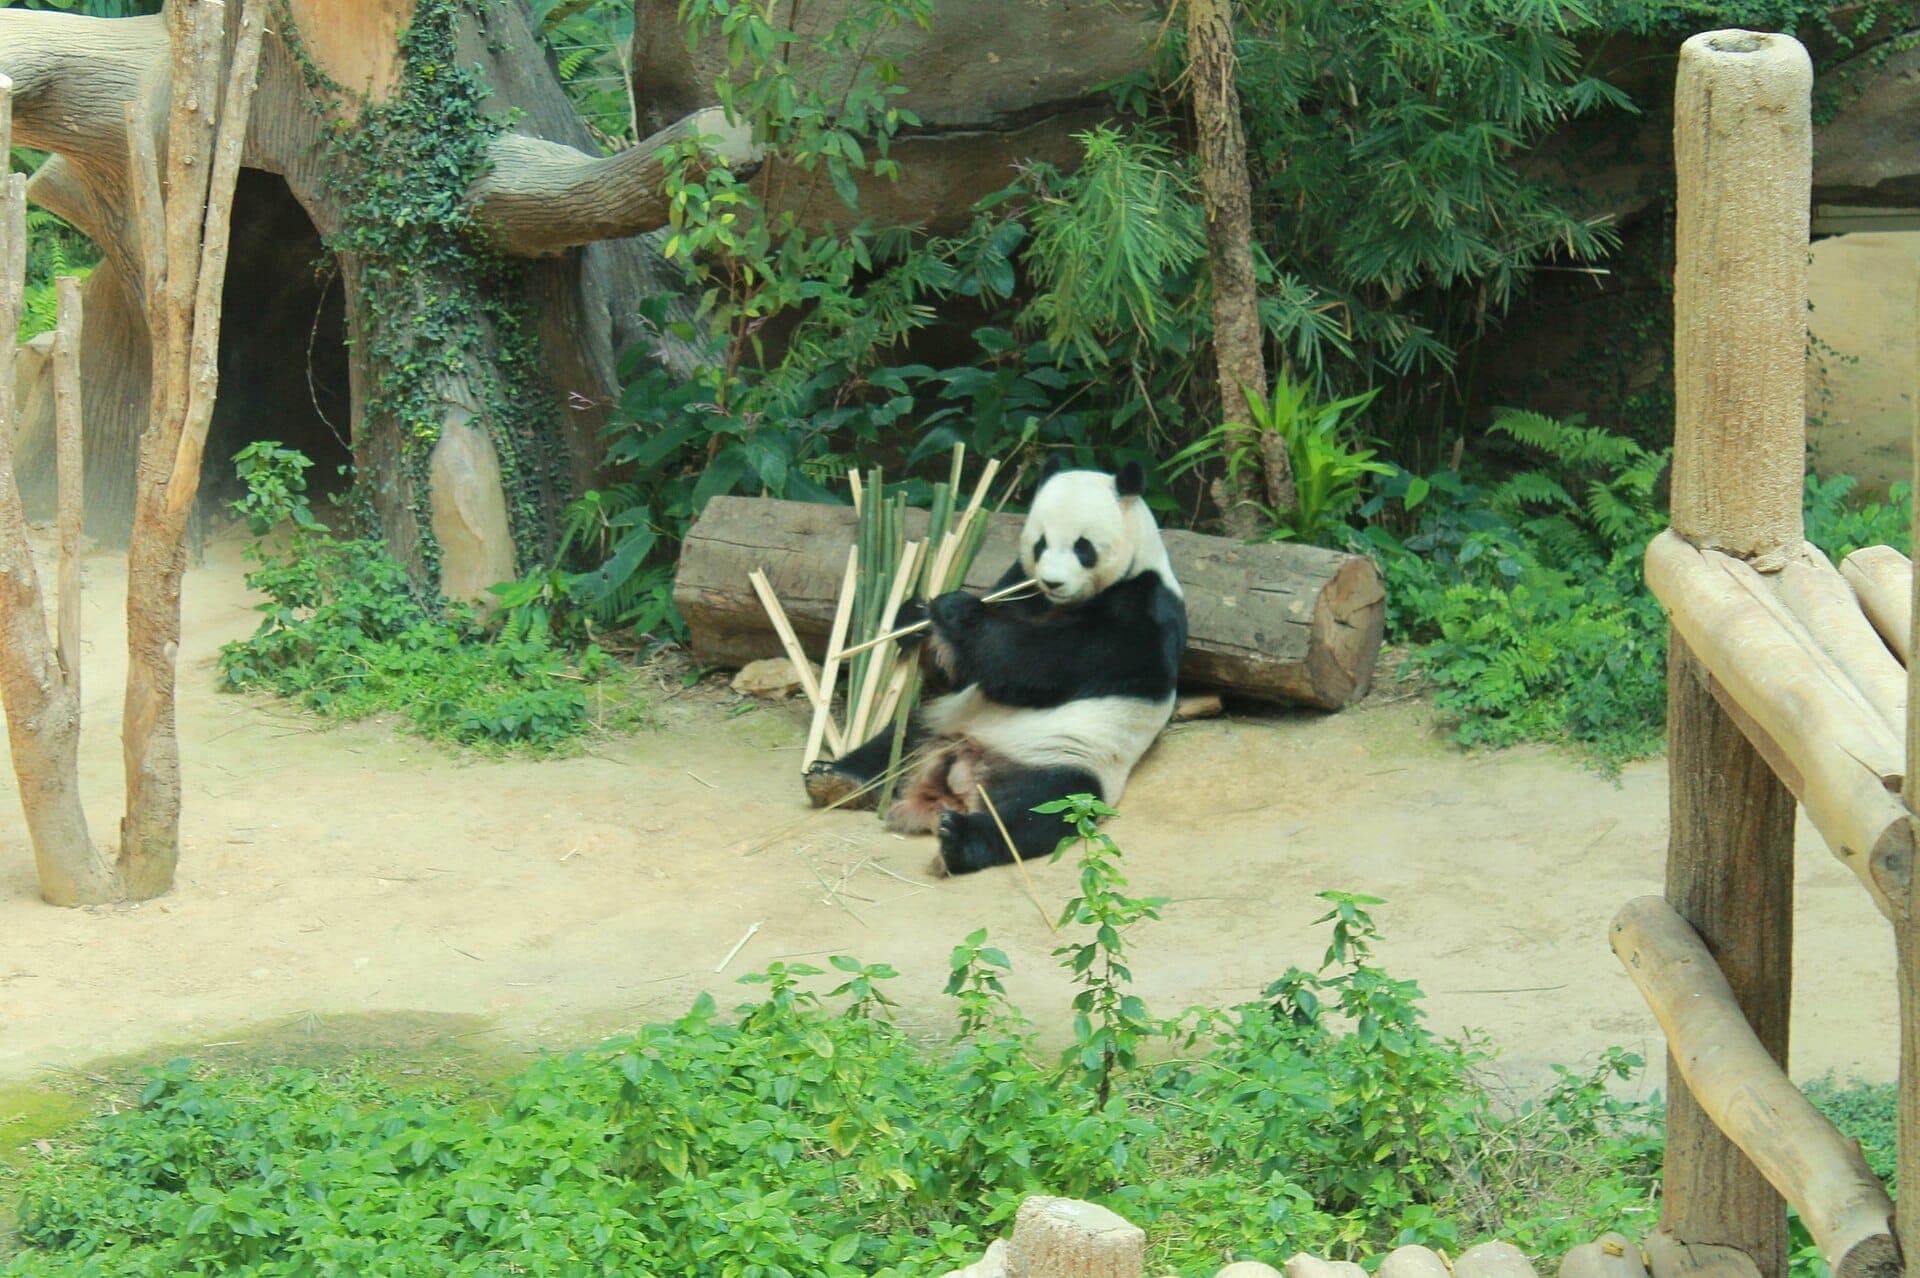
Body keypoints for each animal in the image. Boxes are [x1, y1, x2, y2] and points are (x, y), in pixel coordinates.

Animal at [804, 458, 1187, 875]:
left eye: (1083, 547)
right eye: (1041, 544)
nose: (1053, 582)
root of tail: (960, 776)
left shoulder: (1143, 611)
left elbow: (1036, 663)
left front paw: (957, 611)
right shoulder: (1021, 582)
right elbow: (961, 676)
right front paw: (915, 615)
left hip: (1072, 758)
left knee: (1042, 809)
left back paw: (961, 839)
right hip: (936, 724)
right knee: (892, 743)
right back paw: (836, 779)